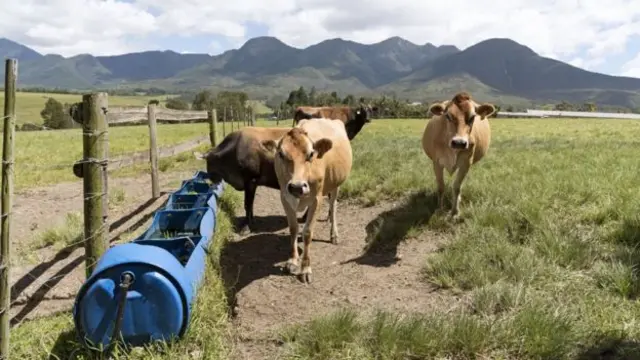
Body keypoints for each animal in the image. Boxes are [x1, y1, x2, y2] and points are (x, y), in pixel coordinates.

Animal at [262, 118, 356, 284]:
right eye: (281, 154)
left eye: (311, 153)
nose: (297, 186)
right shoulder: (284, 197)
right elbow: (293, 228)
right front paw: (292, 261)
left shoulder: (316, 199)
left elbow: (307, 232)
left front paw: (305, 268)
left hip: (336, 184)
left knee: (333, 205)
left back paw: (334, 234)